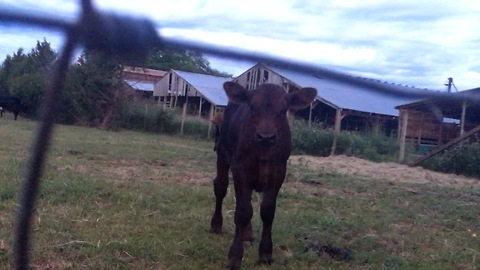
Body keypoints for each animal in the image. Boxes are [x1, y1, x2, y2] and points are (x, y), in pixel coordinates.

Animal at [211, 81, 316, 268]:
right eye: (252, 107)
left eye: (283, 110)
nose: (266, 137)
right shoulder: (240, 169)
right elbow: (243, 212)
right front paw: (235, 256)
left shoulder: (278, 173)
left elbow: (267, 211)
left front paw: (266, 253)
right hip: (222, 152)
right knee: (221, 186)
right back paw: (216, 224)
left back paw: (247, 234)